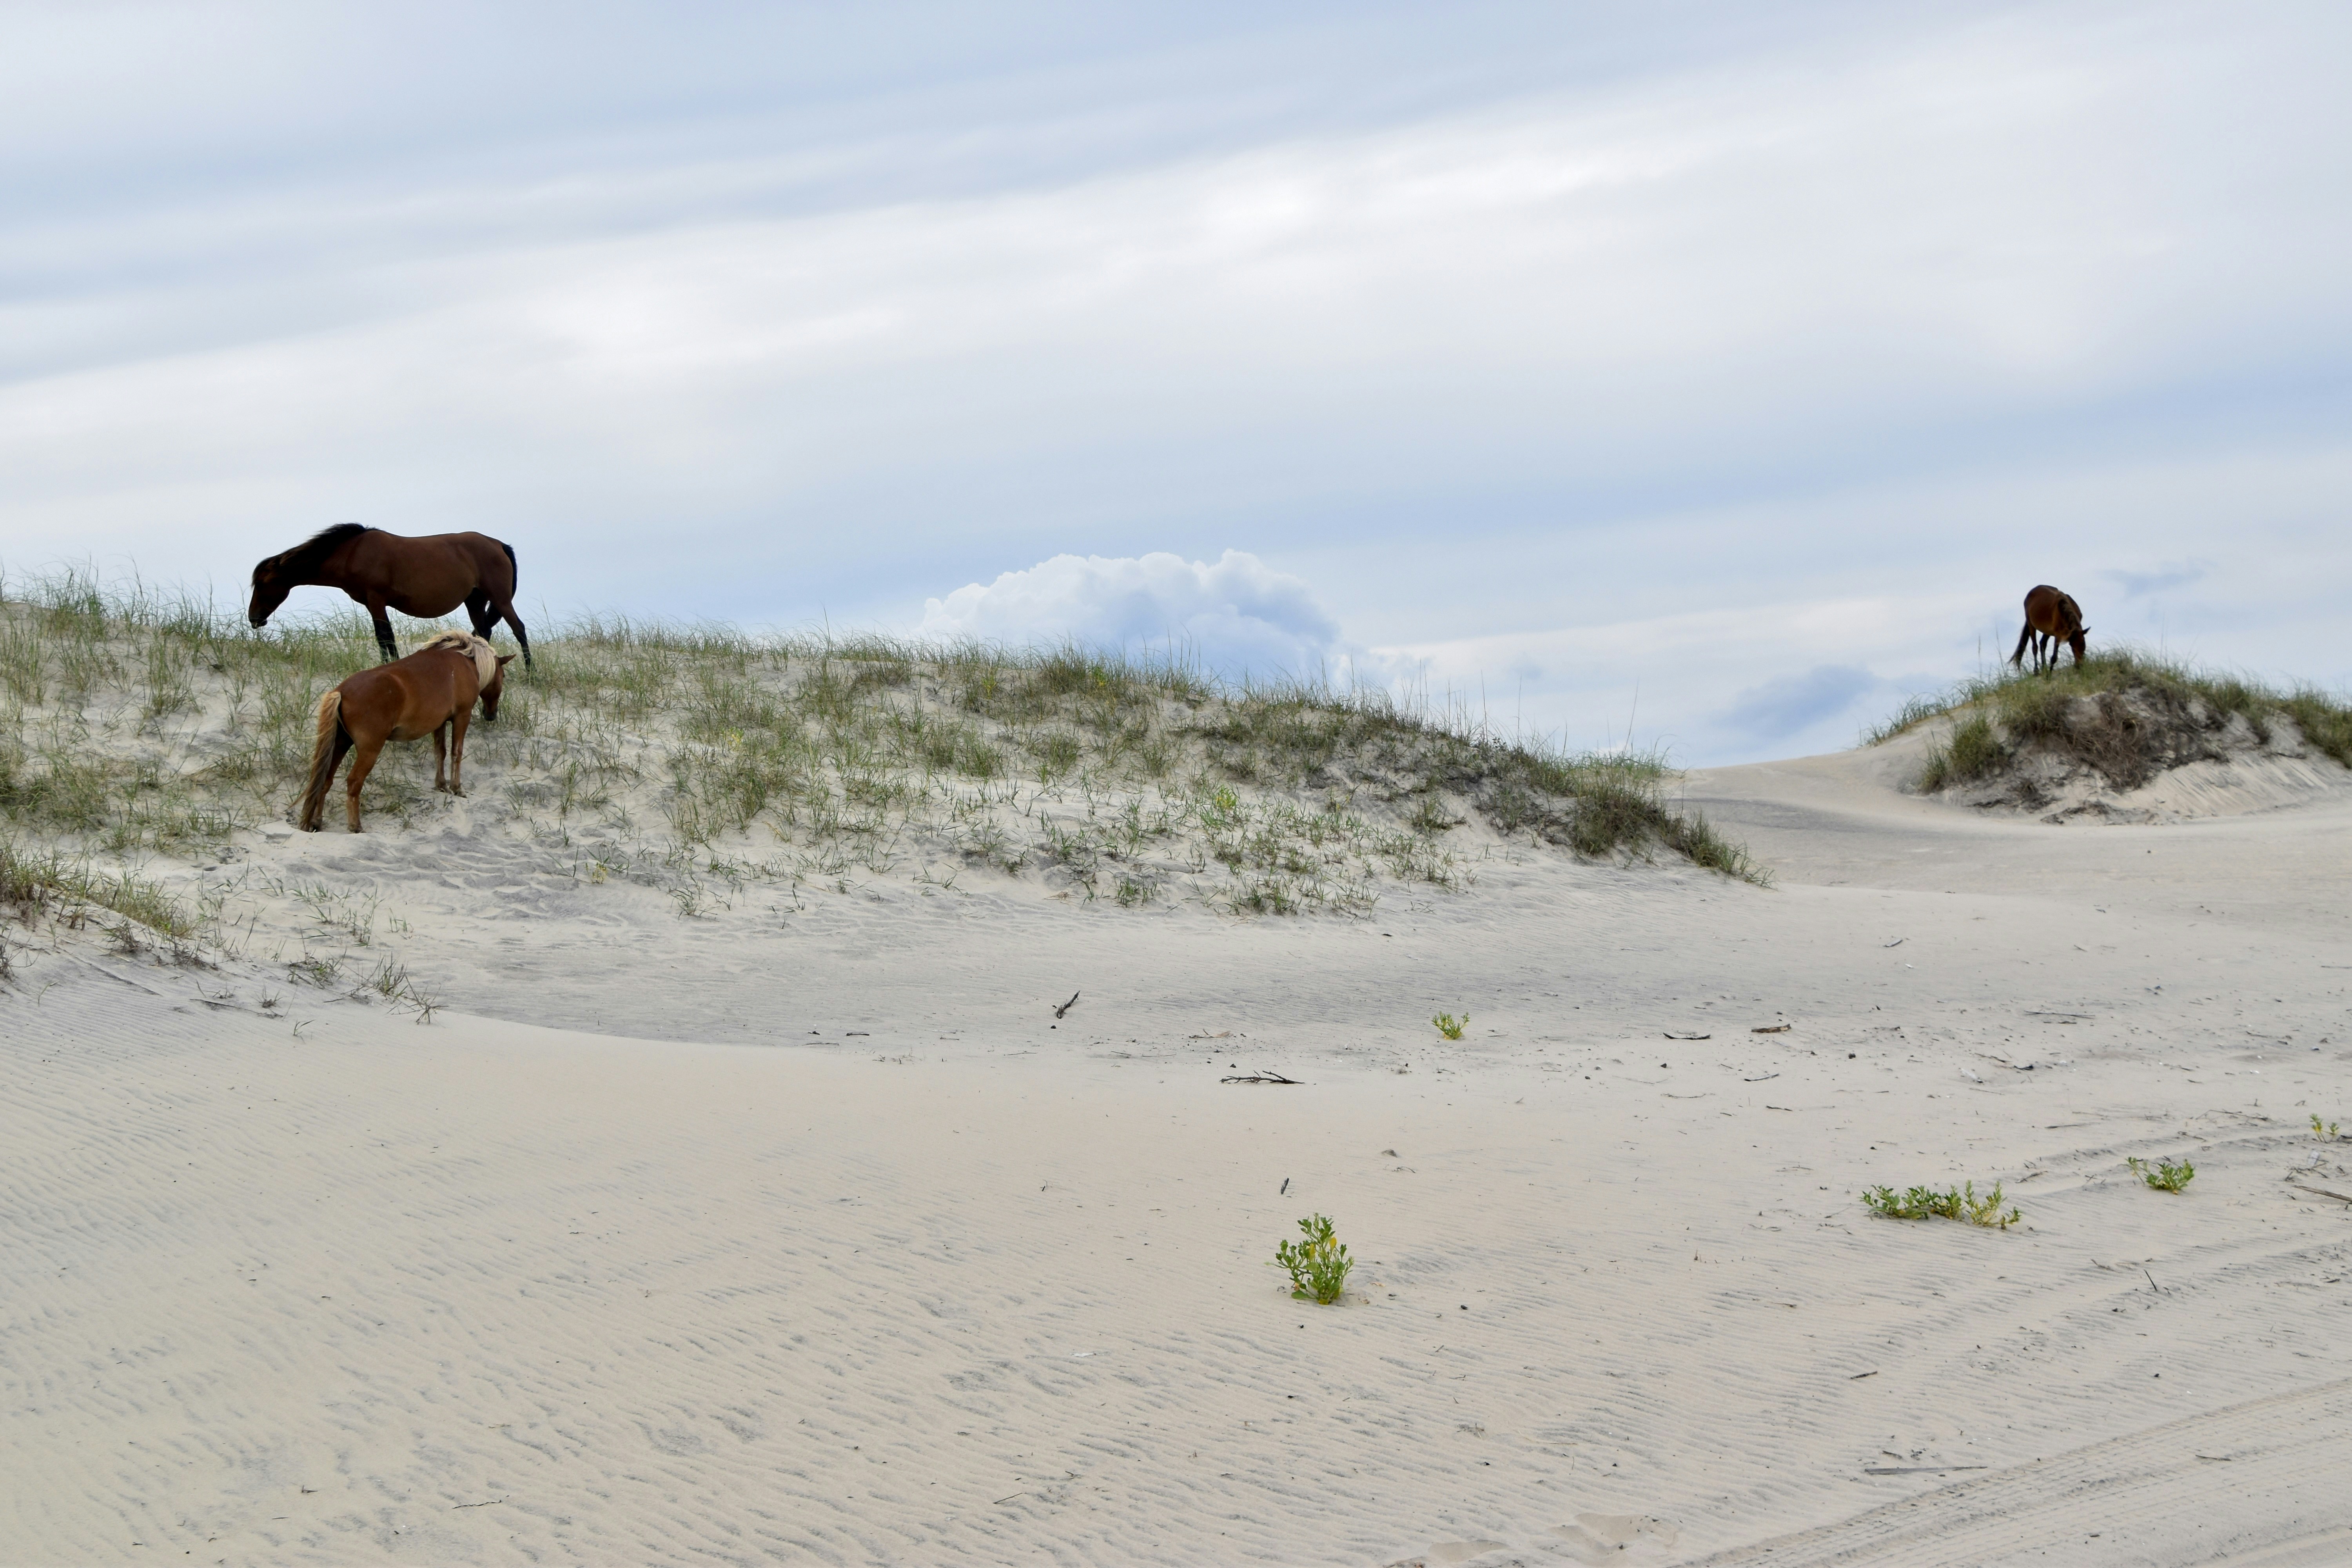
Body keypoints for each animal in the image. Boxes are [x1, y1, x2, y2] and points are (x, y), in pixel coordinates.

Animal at [250, 523, 531, 667]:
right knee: (483, 633)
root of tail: (498, 545)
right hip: (475, 600)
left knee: (519, 629)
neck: (353, 552)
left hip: (500, 599)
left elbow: (386, 637)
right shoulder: (371, 603)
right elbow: (383, 637)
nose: (254, 619)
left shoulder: (377, 600)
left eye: (263, 583)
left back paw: (530, 672)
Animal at [296, 632, 515, 833]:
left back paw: (317, 822)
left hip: (341, 743)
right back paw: (356, 826)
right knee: (354, 783)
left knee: (326, 780)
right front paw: (457, 788)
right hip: (369, 750)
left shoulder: (440, 723)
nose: (491, 715)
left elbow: (440, 753)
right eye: (503, 676)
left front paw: (442, 785)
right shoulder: (462, 716)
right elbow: (456, 753)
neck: (464, 661)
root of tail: (342, 691)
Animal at [2008, 584, 2088, 674]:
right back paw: (2036, 671)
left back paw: (2044, 668)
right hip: (2031, 625)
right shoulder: (2058, 635)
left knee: (2042, 644)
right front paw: (2049, 675)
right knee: (2035, 647)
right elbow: (2054, 657)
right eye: (2071, 645)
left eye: (2083, 644)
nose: (2079, 665)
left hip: (2047, 631)